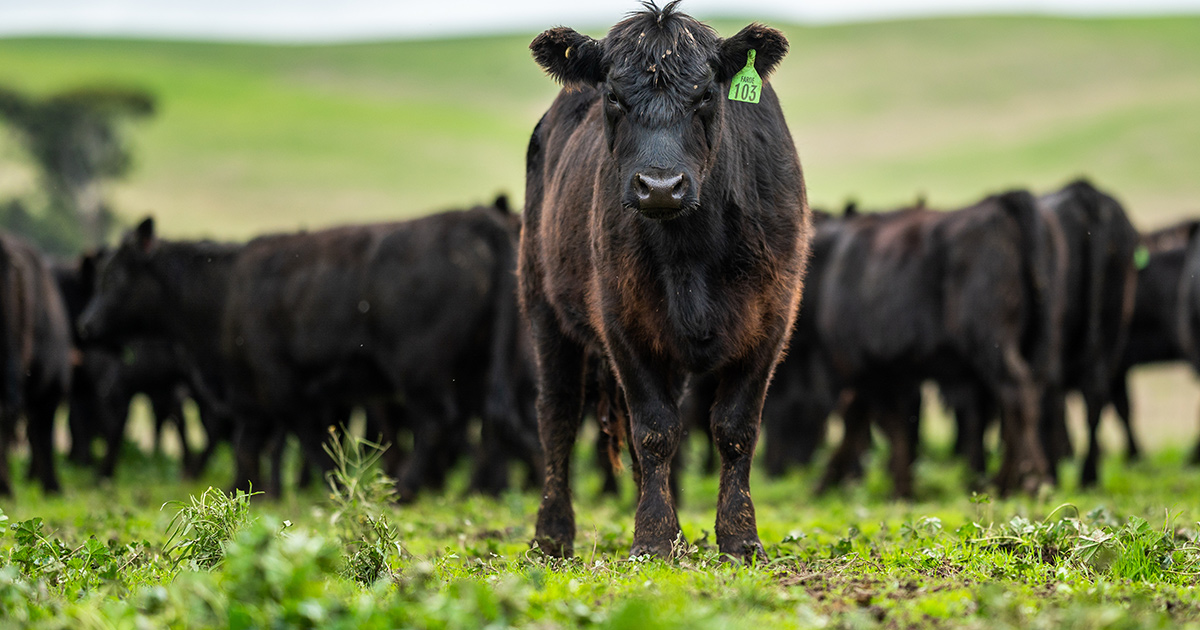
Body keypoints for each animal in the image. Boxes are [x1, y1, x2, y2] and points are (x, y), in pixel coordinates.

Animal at [520, 1, 811, 559]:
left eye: (705, 94)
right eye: (614, 95)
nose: (659, 186)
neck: (691, 252)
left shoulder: (771, 319)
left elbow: (735, 428)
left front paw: (739, 538)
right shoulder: (622, 322)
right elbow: (654, 430)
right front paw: (653, 538)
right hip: (543, 304)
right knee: (557, 416)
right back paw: (552, 535)